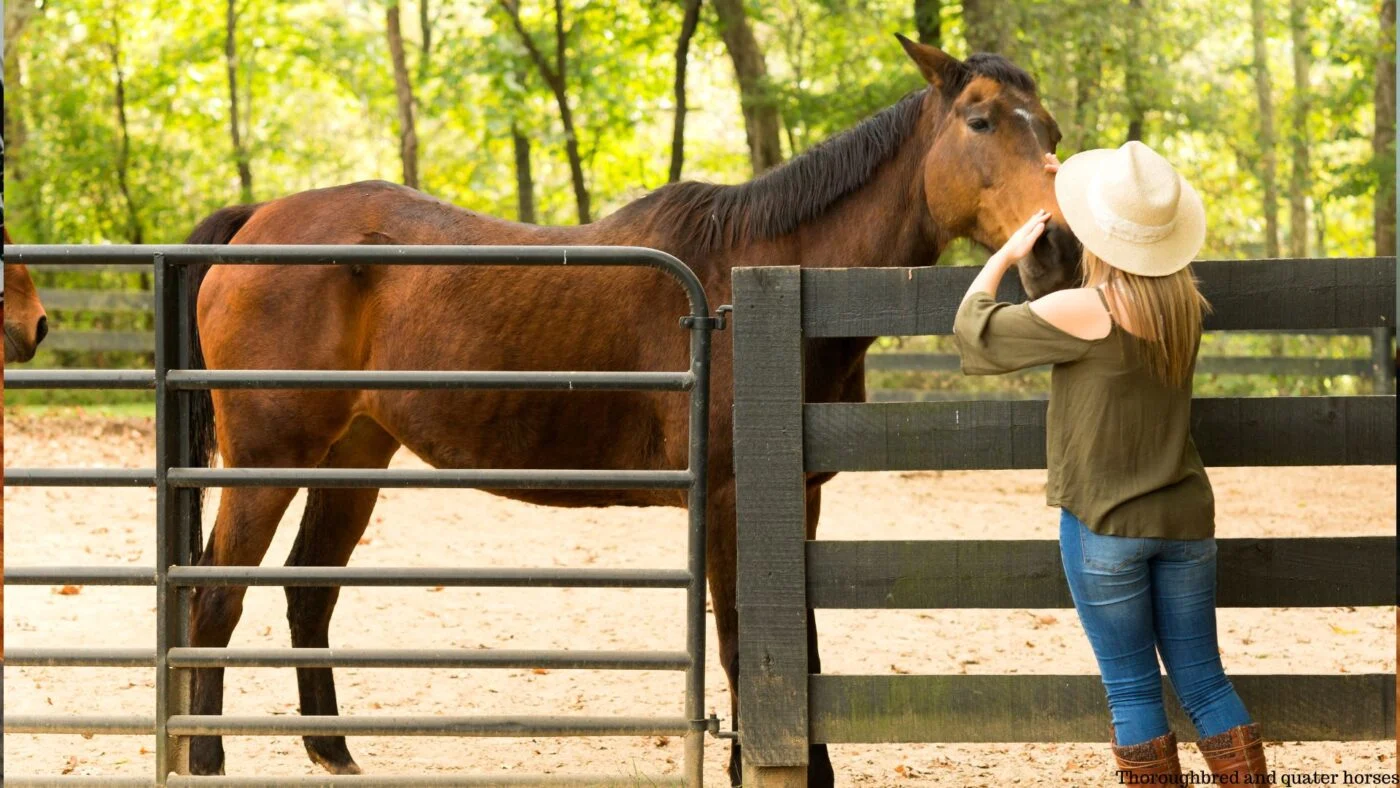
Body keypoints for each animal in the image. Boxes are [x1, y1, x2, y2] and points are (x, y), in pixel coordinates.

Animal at [178, 37, 1080, 785]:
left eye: (1051, 128)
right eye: (980, 120)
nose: (1059, 249)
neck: (757, 281)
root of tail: (257, 222)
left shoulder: (798, 497)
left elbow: (801, 649)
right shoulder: (728, 502)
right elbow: (743, 647)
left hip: (352, 457)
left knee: (308, 595)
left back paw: (332, 751)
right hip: (267, 463)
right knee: (216, 596)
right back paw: (204, 756)